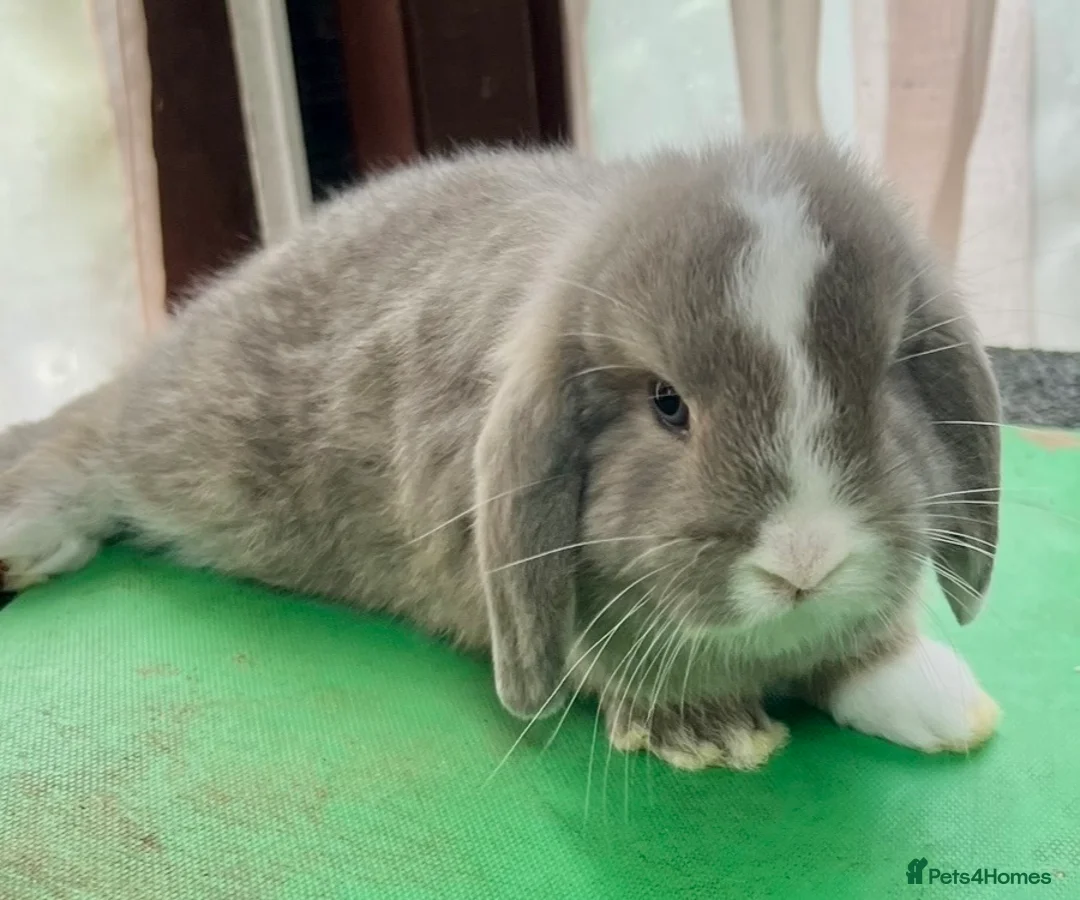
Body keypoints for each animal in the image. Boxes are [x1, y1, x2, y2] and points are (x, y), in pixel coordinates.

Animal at [0, 137, 1002, 770]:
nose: (806, 560)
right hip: (182, 437)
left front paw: (938, 700)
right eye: (666, 404)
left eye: (885, 376)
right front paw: (706, 733)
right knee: (91, 438)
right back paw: (27, 538)